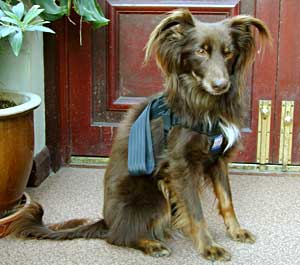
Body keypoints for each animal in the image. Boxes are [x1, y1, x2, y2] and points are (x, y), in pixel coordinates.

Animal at [9, 9, 272, 260]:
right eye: (200, 51)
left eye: (228, 53)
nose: (221, 85)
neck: (203, 103)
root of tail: (107, 221)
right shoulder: (180, 167)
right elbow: (196, 212)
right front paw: (209, 248)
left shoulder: (218, 160)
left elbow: (227, 200)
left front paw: (236, 231)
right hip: (154, 194)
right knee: (117, 237)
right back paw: (151, 244)